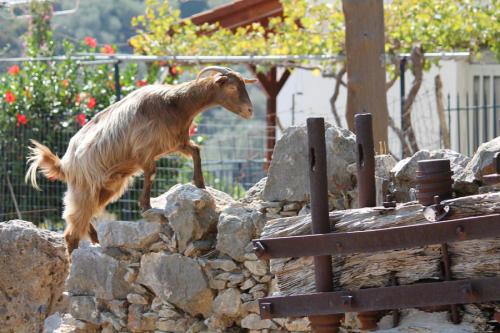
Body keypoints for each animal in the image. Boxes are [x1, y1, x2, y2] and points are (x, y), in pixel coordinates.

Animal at [25, 67, 256, 254]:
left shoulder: (176, 142)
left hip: (107, 187)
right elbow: (151, 172)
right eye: (232, 87)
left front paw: (200, 184)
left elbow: (196, 151)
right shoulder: (145, 151)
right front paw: (145, 206)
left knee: (78, 217)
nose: (250, 111)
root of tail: (64, 164)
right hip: (85, 187)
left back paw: (94, 238)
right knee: (71, 231)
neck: (175, 104)